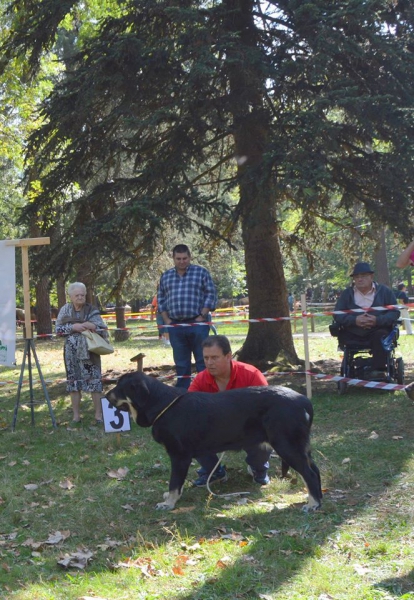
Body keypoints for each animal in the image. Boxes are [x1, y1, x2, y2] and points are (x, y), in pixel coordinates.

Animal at [105, 370, 322, 510]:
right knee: (315, 470)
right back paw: (317, 499)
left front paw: (169, 503)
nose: (106, 395)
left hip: (287, 446)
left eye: (119, 387)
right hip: (299, 447)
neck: (162, 405)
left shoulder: (179, 456)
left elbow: (174, 482)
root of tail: (304, 400)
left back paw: (312, 504)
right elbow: (177, 483)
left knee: (309, 474)